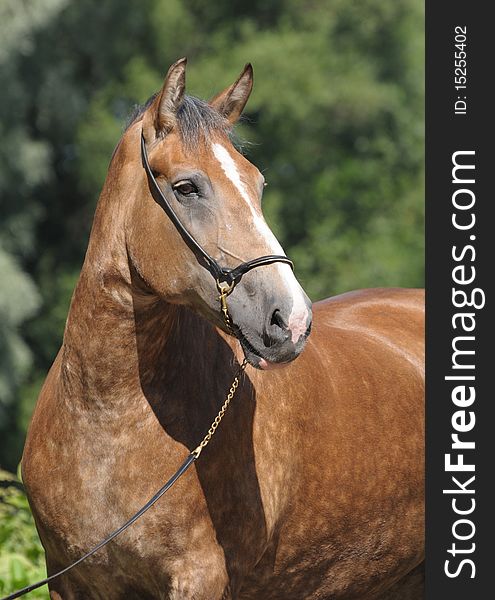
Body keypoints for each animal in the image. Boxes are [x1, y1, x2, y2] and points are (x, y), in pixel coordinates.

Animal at [22, 59, 426, 600]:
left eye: (258, 185)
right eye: (187, 187)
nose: (291, 319)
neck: (105, 420)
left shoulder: (199, 579)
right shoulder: (69, 579)